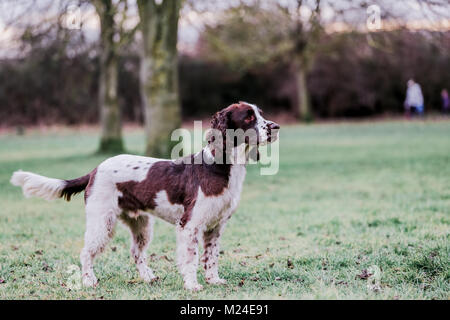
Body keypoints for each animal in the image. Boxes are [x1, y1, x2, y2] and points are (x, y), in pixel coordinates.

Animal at [9, 101, 278, 292]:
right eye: (249, 117)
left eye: (260, 113)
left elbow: (211, 257)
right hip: (102, 221)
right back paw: (88, 281)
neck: (220, 165)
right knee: (86, 252)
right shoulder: (189, 225)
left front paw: (213, 280)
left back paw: (148, 277)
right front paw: (192, 285)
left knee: (136, 253)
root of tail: (95, 169)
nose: (275, 128)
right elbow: (191, 258)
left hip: (140, 224)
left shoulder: (215, 226)